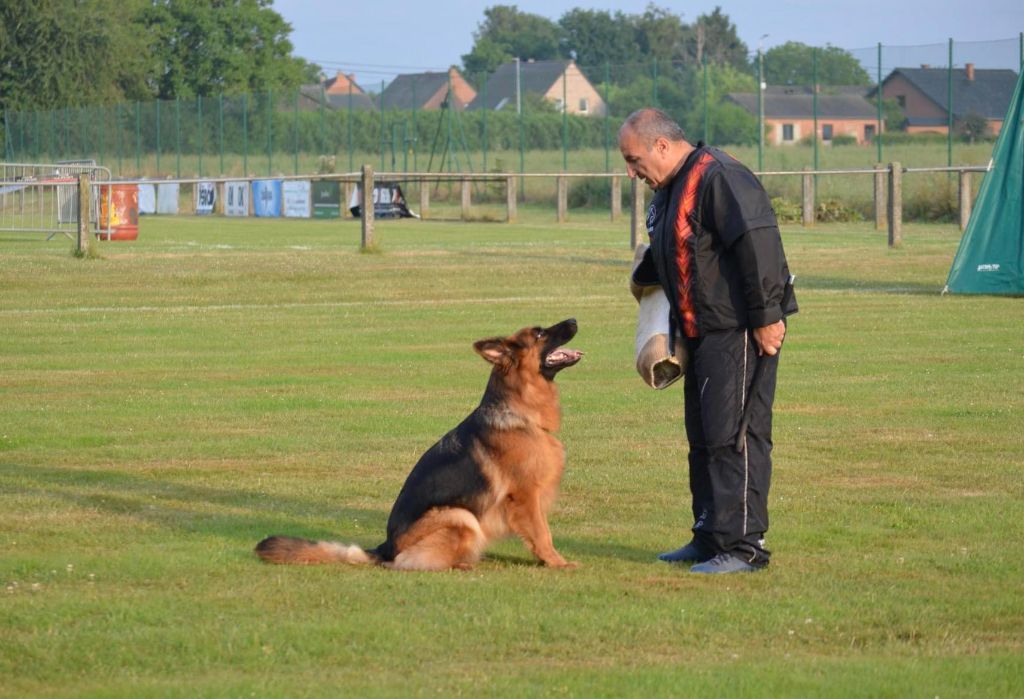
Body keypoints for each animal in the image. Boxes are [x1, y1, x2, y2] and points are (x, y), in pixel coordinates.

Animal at [256, 319, 585, 573]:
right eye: (539, 333)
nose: (574, 320)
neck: (521, 412)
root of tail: (385, 547)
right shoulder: (525, 496)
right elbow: (543, 534)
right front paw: (557, 563)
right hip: (459, 516)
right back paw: (461, 564)